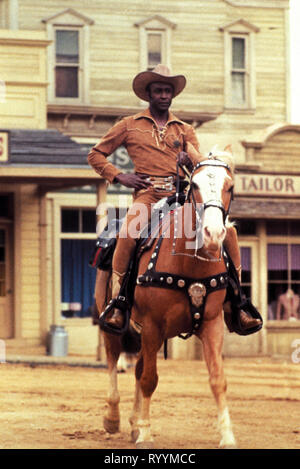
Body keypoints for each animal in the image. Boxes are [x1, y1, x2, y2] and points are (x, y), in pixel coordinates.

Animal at [99, 148, 238, 448]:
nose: (213, 234)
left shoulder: (212, 323)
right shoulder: (153, 325)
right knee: (113, 361)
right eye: (194, 185)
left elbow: (218, 379)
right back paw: (113, 418)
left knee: (137, 368)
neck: (189, 262)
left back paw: (132, 423)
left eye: (230, 186)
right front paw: (146, 433)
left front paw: (227, 435)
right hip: (113, 325)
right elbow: (150, 379)